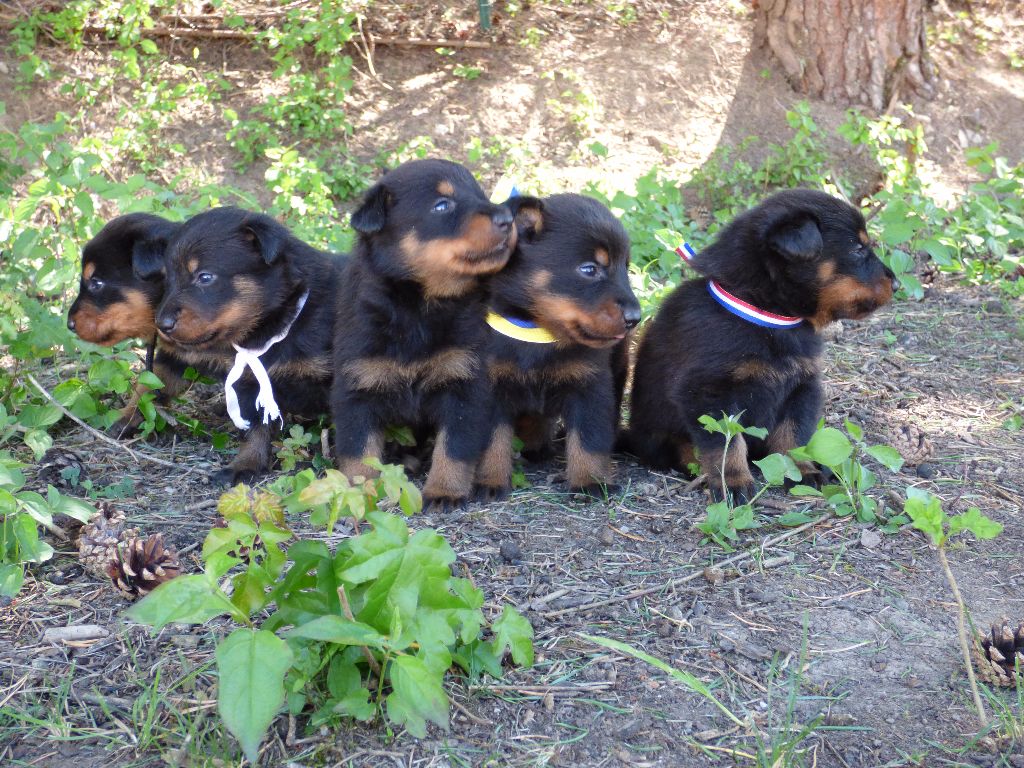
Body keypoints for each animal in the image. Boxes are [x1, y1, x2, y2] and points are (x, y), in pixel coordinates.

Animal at [151, 204, 344, 481]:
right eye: (167, 280)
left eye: (205, 277)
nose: (161, 324)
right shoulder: (252, 382)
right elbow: (256, 427)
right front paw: (245, 464)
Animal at [331, 157, 516, 505]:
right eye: (442, 205)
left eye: (480, 195)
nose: (507, 218)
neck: (419, 308)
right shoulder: (356, 384)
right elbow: (359, 452)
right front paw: (359, 493)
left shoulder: (465, 381)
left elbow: (454, 447)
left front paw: (445, 491)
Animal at [473, 191, 638, 493]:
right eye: (589, 269)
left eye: (626, 268)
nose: (635, 317)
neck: (539, 332)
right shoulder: (492, 385)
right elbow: (492, 441)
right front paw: (489, 481)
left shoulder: (590, 385)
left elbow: (589, 439)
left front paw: (590, 482)